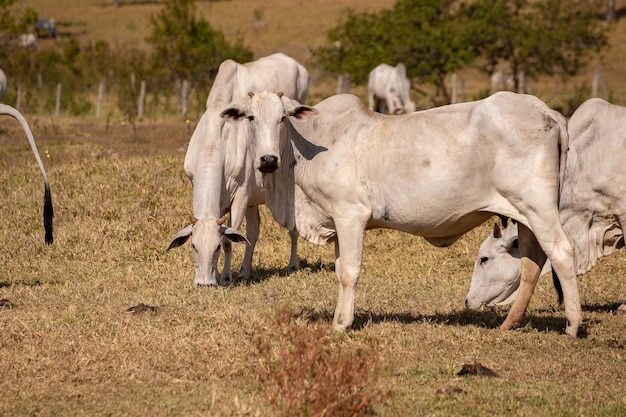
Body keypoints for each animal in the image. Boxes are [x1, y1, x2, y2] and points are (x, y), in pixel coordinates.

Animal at [167, 52, 306, 286]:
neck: (216, 143)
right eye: (193, 246)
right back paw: (245, 271)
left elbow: (230, 240)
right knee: (254, 231)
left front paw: (224, 277)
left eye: (215, 247)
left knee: (293, 227)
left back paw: (293, 265)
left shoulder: (240, 197)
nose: (204, 283)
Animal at [219, 92, 580, 338]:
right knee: (533, 263)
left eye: (283, 118)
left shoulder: (350, 215)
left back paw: (573, 325)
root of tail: (545, 110)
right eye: (250, 118)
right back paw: (510, 323)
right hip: (524, 215)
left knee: (562, 253)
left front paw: (342, 324)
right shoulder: (337, 221)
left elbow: (349, 271)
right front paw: (337, 317)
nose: (267, 160)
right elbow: (339, 270)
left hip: (538, 207)